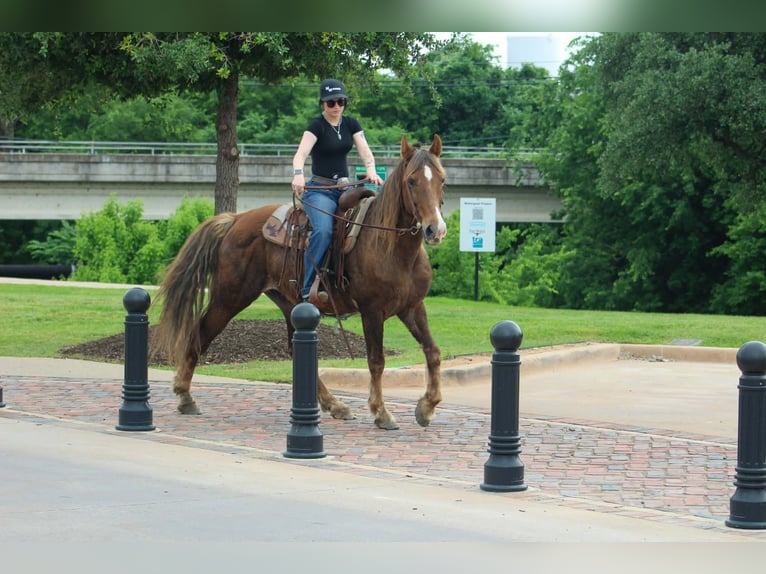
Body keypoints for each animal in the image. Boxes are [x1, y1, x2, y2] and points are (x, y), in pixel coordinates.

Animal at [153, 133, 447, 430]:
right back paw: (185, 397)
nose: (435, 230)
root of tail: (235, 219)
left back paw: (335, 405)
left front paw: (427, 406)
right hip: (229, 298)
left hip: (289, 303)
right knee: (199, 334)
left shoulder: (412, 307)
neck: (390, 246)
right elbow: (376, 361)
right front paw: (381, 412)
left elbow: (432, 351)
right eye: (412, 181)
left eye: (442, 180)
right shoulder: (372, 311)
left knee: (295, 350)